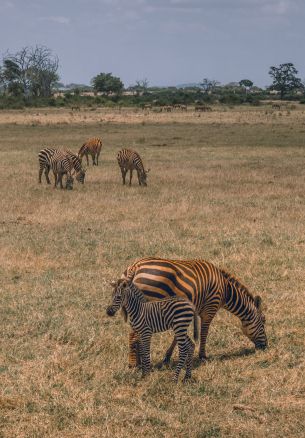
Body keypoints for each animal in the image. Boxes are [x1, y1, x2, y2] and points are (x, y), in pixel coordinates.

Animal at [115, 258, 268, 368]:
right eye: (263, 322)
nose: (265, 347)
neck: (226, 290)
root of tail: (135, 267)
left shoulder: (184, 312)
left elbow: (177, 336)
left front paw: (167, 357)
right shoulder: (209, 309)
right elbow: (204, 333)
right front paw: (203, 356)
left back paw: (140, 361)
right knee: (134, 335)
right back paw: (135, 364)